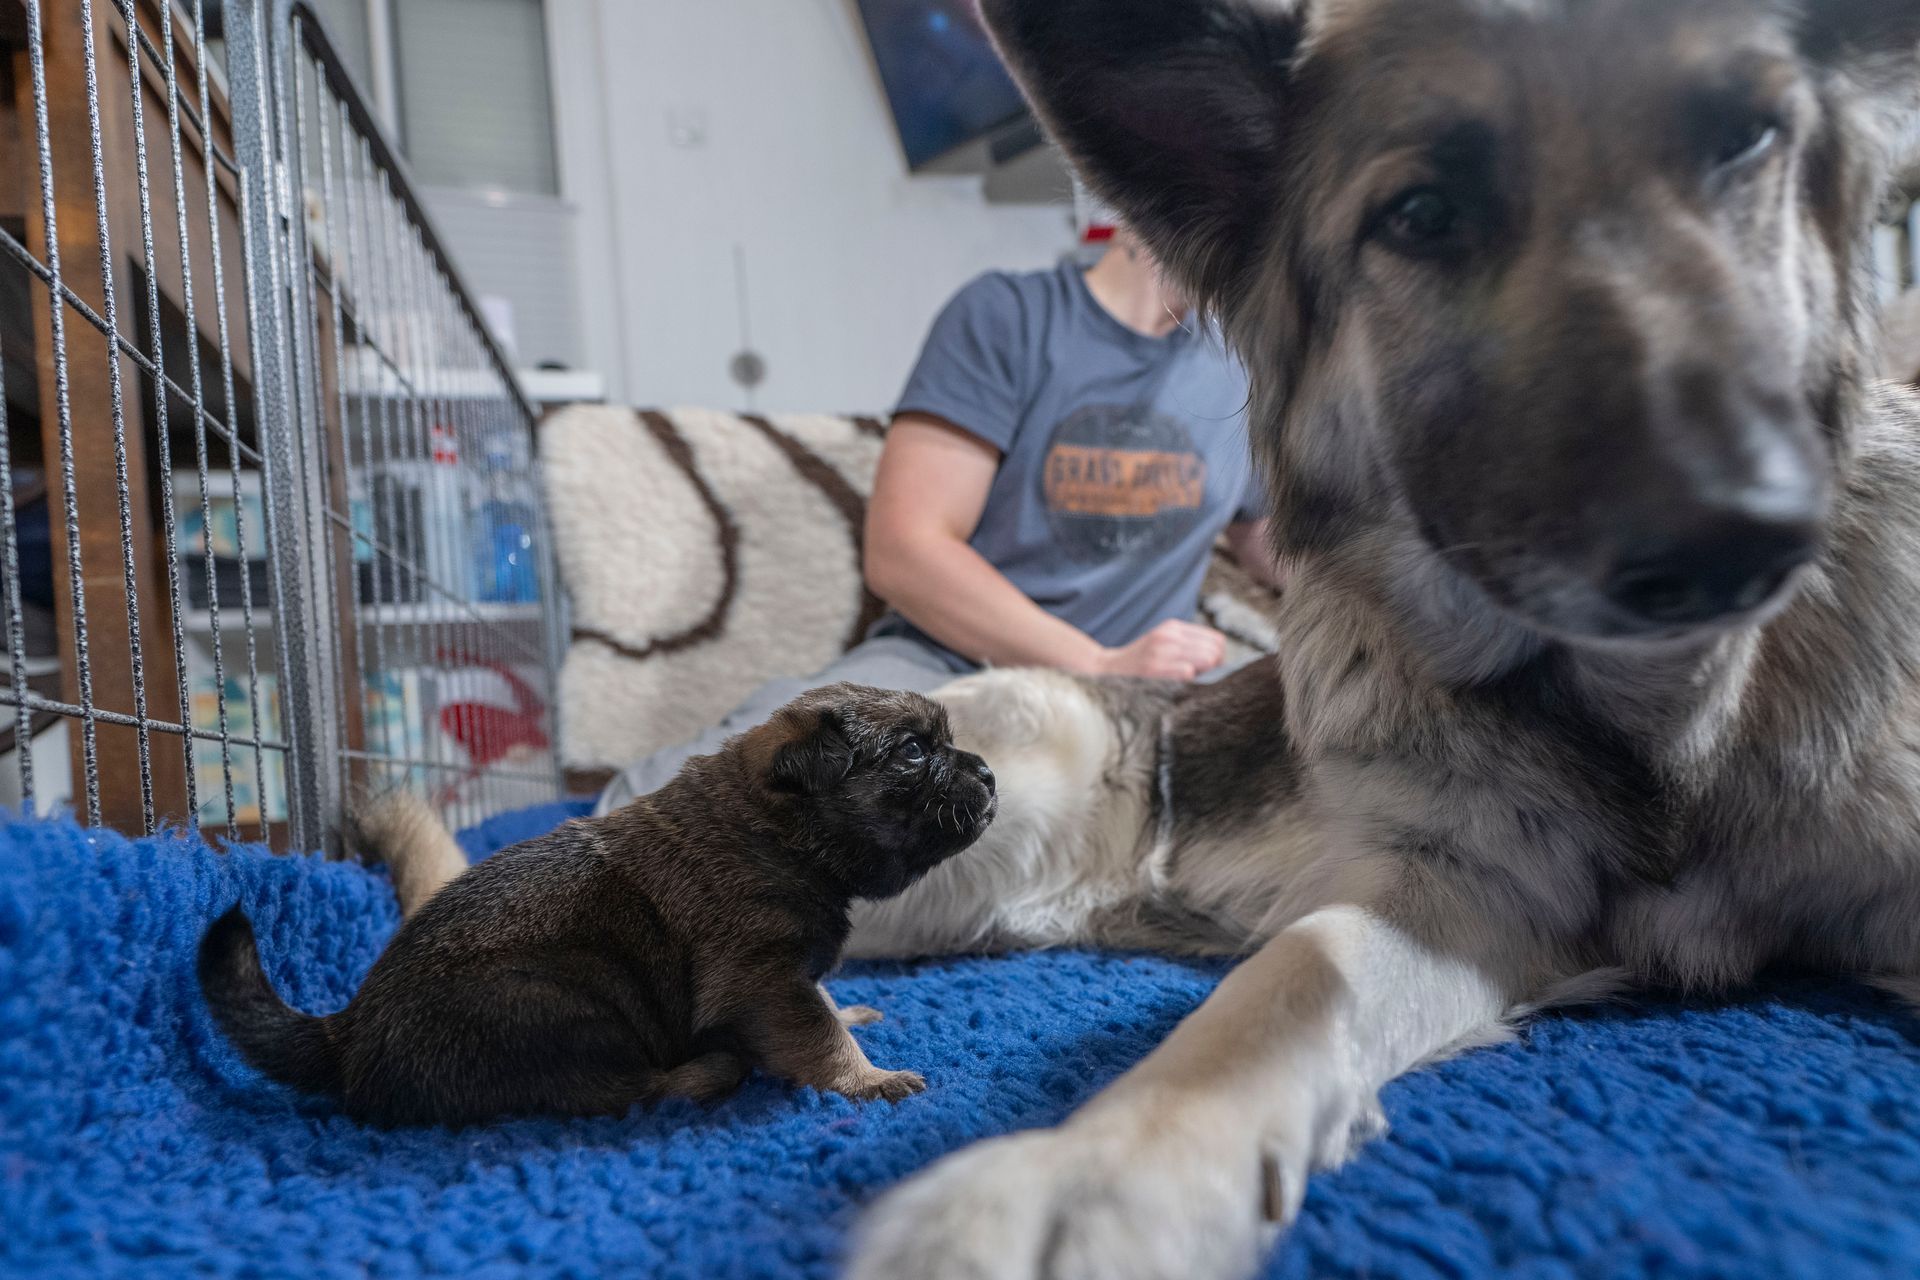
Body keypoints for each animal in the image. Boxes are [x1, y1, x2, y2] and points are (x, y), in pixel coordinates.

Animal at [198, 684, 997, 1127]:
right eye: (914, 752)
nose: (988, 772)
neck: (774, 830)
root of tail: (348, 1032)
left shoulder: (785, 973)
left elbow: (822, 1006)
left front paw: (849, 1012)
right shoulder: (762, 978)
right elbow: (814, 1036)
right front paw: (868, 1079)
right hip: (557, 1008)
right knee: (617, 1091)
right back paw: (711, 1070)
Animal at [831, 3, 1920, 1278]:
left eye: (1746, 143)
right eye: (1420, 215)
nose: (1745, 534)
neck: (1655, 735)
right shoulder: (1454, 892)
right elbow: (1294, 978)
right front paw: (1091, 1171)